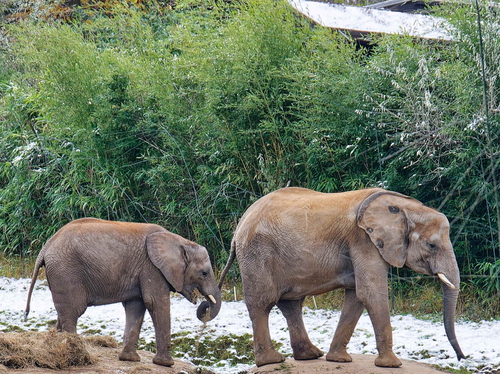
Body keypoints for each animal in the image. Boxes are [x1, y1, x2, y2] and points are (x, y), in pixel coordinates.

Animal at [24, 218, 221, 366]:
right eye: (204, 273)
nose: (204, 305)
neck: (180, 241)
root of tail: (46, 247)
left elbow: (136, 306)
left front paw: (129, 359)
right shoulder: (152, 268)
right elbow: (155, 303)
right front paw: (166, 364)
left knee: (63, 312)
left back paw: (54, 352)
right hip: (66, 272)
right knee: (73, 312)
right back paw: (78, 357)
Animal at [219, 186, 464, 366]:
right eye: (432, 245)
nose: (462, 358)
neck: (405, 206)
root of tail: (240, 225)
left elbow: (356, 297)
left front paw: (339, 359)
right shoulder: (364, 240)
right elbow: (371, 294)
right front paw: (392, 365)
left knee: (291, 304)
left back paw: (310, 355)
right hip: (256, 253)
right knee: (263, 302)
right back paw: (271, 361)